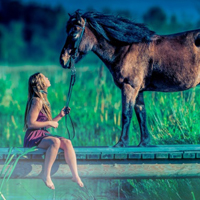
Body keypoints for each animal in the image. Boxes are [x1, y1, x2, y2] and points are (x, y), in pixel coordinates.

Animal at [59, 9, 200, 147]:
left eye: (74, 33)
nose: (63, 60)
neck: (125, 50)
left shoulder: (129, 87)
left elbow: (126, 114)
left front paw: (122, 142)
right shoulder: (138, 90)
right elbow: (141, 113)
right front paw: (144, 143)